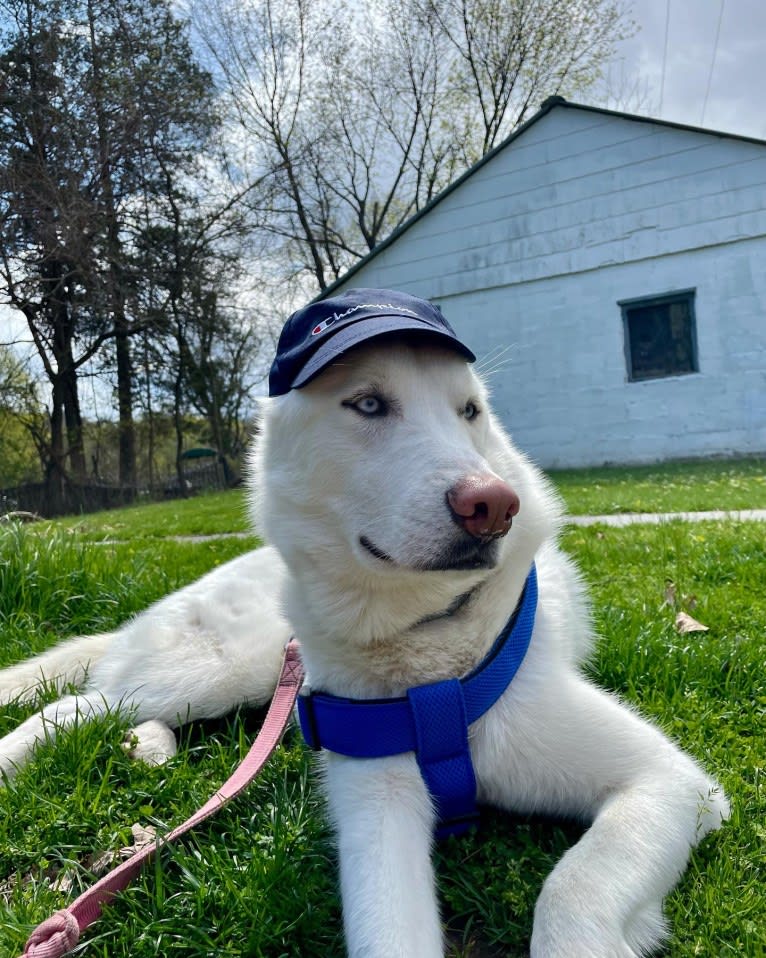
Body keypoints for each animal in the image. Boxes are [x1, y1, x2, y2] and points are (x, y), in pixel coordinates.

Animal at [1, 292, 732, 958]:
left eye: (470, 411)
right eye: (370, 405)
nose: (493, 504)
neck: (429, 663)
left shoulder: (670, 784)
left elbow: (571, 887)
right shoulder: (377, 809)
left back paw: (148, 746)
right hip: (225, 668)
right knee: (74, 703)